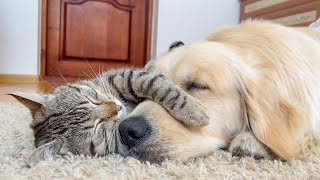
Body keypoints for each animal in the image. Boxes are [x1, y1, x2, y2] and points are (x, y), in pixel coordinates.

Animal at [10, 60, 208, 166]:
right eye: (98, 127)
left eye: (91, 100)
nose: (116, 107)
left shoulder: (124, 76)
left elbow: (156, 84)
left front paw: (193, 110)